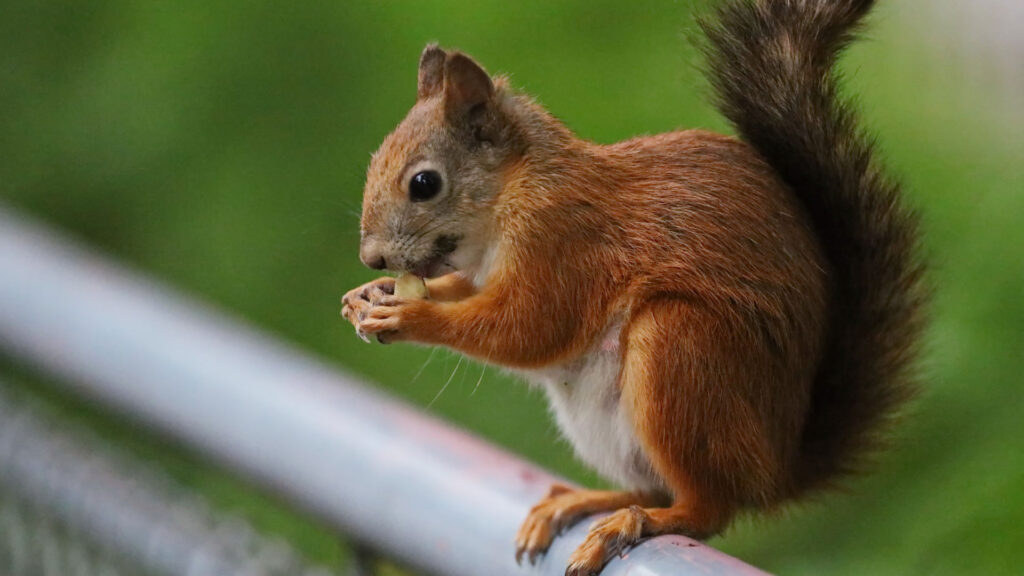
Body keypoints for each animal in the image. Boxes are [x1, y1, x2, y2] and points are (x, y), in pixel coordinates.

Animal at [339, 1, 925, 569]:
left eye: (424, 184)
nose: (371, 259)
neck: (513, 192)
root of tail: (776, 470)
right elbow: (467, 294)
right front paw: (366, 297)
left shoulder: (564, 244)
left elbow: (528, 328)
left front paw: (410, 316)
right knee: (656, 487)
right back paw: (586, 503)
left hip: (681, 349)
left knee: (705, 509)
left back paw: (639, 523)